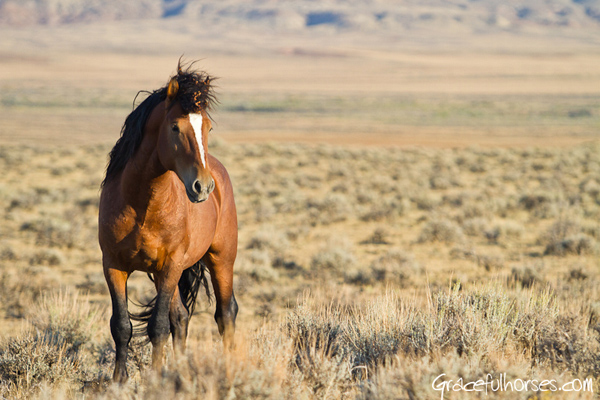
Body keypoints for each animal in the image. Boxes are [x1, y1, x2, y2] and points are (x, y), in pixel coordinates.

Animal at [98, 61, 237, 382]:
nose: (203, 187)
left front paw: (155, 378)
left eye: (208, 127)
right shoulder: (113, 265)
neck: (142, 204)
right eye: (175, 127)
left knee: (225, 314)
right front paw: (119, 381)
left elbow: (158, 327)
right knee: (182, 317)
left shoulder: (170, 264)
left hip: (220, 259)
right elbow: (121, 326)